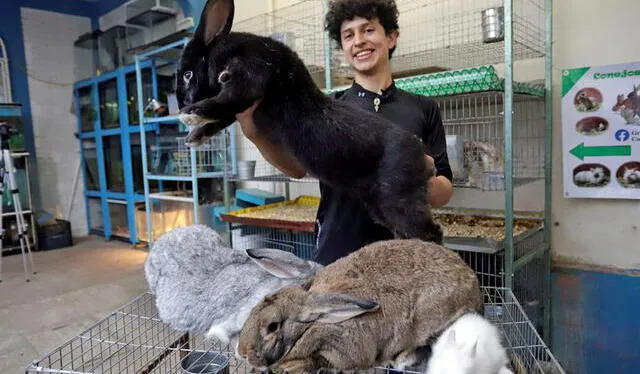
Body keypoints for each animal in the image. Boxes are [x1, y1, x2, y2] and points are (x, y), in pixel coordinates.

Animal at [178, 0, 442, 243]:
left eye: (187, 75)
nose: (181, 103)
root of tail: (422, 157)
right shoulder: (241, 109)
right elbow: (221, 118)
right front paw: (194, 137)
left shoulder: (250, 74)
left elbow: (227, 99)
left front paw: (191, 113)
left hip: (398, 198)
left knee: (431, 232)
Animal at [235, 240, 480, 374]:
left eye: (272, 326)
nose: (241, 352)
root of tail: (474, 285)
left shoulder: (343, 349)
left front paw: (291, 367)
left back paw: (402, 358)